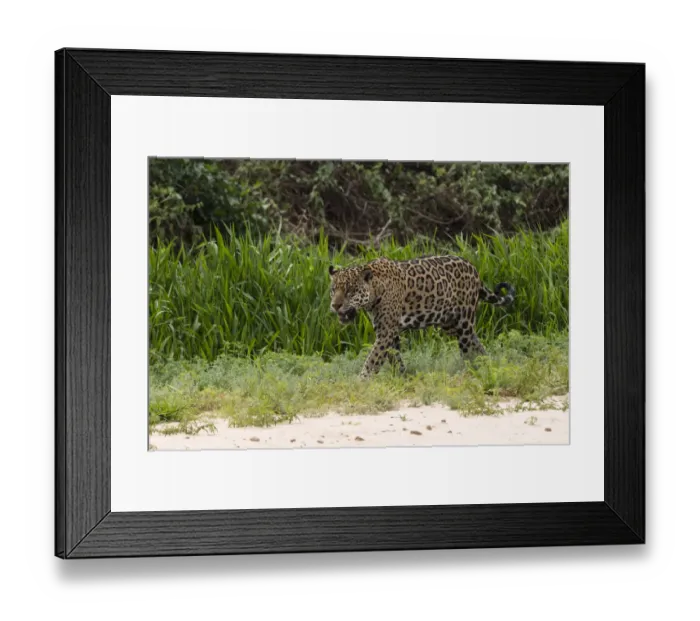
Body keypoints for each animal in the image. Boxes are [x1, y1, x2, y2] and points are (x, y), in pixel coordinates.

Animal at [328, 255, 515, 378]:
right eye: (333, 290)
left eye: (350, 291)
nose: (335, 306)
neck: (376, 289)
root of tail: (474, 268)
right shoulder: (389, 333)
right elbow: (394, 358)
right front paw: (402, 378)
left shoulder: (386, 332)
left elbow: (372, 359)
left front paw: (361, 382)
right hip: (451, 324)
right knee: (477, 343)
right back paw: (488, 364)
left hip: (463, 323)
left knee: (467, 351)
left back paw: (469, 372)